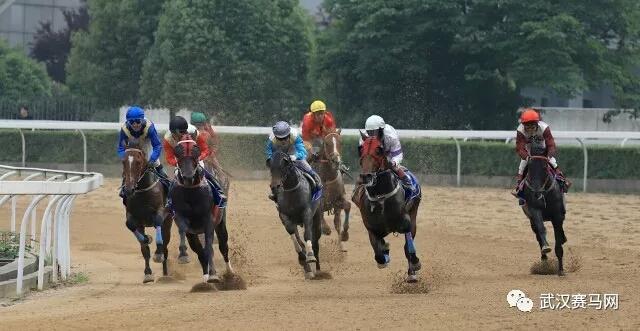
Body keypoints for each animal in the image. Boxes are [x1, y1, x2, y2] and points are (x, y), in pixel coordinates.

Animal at [121, 144, 172, 284]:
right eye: (123, 162)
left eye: (138, 162)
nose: (129, 189)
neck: (143, 190)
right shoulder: (134, 217)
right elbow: (142, 244)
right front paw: (148, 273)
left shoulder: (160, 211)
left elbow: (158, 222)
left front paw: (158, 254)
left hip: (168, 222)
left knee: (165, 245)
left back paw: (166, 272)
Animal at [170, 134, 232, 284]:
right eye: (177, 152)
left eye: (196, 150)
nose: (188, 176)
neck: (191, 193)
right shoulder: (185, 224)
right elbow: (198, 250)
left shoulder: (209, 221)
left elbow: (210, 248)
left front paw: (213, 275)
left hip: (221, 223)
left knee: (223, 246)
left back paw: (229, 272)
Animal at [268, 151, 322, 280]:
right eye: (271, 168)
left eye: (284, 166)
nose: (275, 186)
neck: (292, 192)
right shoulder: (284, 215)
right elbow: (292, 233)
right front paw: (302, 258)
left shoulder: (307, 213)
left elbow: (307, 235)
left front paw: (311, 257)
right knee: (299, 237)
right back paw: (308, 269)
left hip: (317, 215)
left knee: (316, 239)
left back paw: (316, 267)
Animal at [520, 144, 564, 276]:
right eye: (530, 167)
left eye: (545, 167)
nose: (536, 193)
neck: (544, 193)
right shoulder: (534, 210)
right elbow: (541, 229)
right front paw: (546, 248)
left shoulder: (557, 215)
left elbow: (558, 238)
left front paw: (561, 270)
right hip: (531, 220)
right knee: (538, 236)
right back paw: (544, 260)